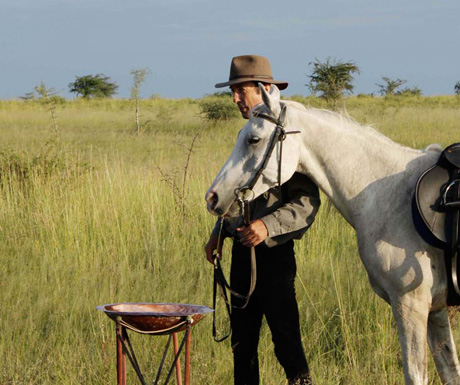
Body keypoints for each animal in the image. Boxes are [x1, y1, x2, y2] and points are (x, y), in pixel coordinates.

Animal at [207, 85, 460, 384]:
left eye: (253, 139)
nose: (212, 197)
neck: (389, 194)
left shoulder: (411, 305)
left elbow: (416, 375)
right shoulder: (436, 309)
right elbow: (450, 371)